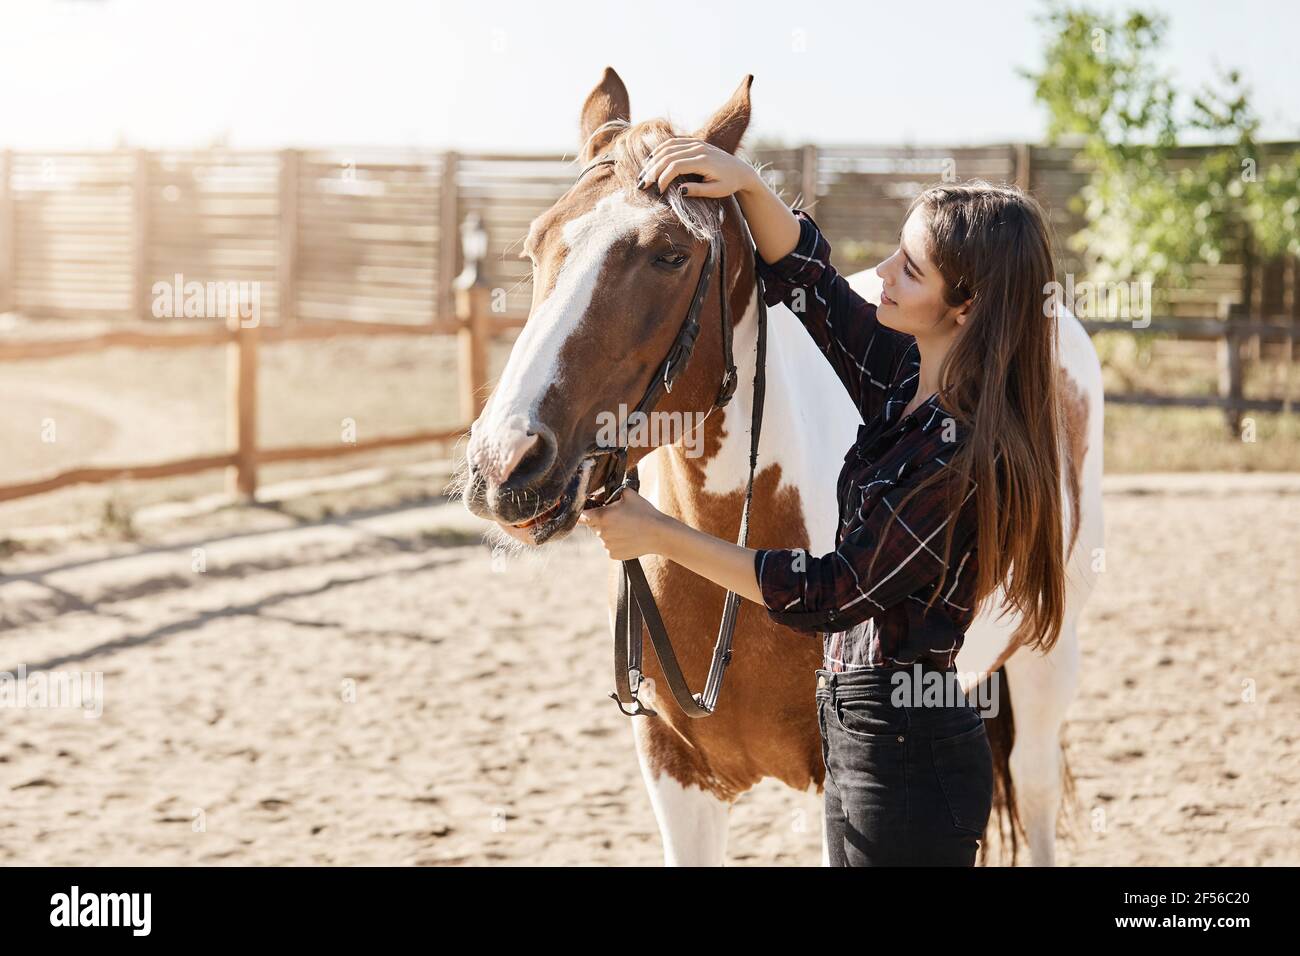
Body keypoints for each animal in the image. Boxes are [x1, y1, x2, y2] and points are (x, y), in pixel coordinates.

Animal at [459, 66, 1104, 866]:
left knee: (1036, 785)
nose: (505, 462)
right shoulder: (677, 777)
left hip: (1050, 653)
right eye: (535, 246)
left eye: (669, 255)